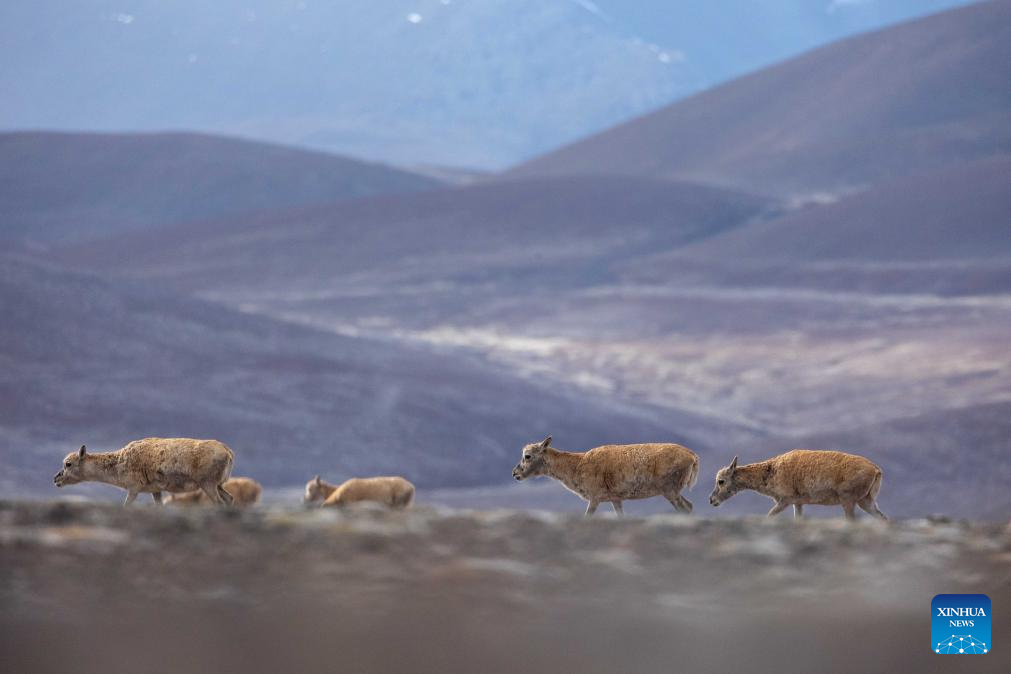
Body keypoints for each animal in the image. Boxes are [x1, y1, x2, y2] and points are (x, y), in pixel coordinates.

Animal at [53, 438, 234, 505]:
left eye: (68, 464)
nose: (56, 479)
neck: (118, 465)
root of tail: (228, 452)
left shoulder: (133, 489)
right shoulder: (156, 491)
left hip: (208, 484)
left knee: (219, 503)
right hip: (218, 485)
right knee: (229, 499)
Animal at [509, 438, 699, 517]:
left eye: (527, 456)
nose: (514, 473)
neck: (576, 465)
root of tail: (693, 456)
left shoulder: (595, 498)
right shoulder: (615, 499)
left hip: (670, 491)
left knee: (685, 508)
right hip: (673, 491)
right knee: (689, 506)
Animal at [707, 450, 889, 521]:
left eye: (721, 480)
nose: (711, 500)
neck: (771, 471)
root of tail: (876, 470)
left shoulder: (785, 501)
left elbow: (769, 516)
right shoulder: (798, 503)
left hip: (848, 501)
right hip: (865, 501)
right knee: (883, 519)